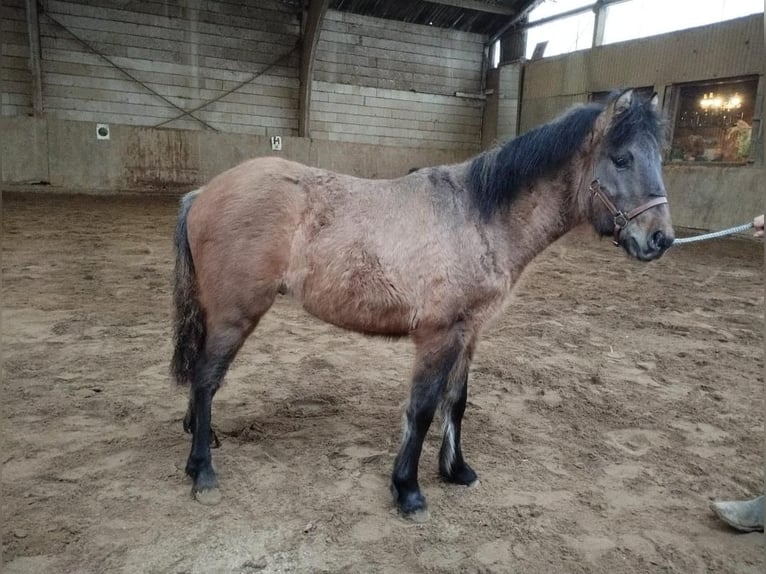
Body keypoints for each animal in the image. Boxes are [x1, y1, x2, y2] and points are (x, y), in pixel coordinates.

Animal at [171, 90, 676, 516]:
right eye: (622, 158)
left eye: (659, 158)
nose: (660, 239)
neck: (477, 216)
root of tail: (202, 194)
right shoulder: (439, 333)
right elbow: (423, 408)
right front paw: (408, 491)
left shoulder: (469, 332)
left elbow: (457, 401)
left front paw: (456, 471)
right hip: (236, 315)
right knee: (206, 379)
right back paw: (202, 471)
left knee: (202, 377)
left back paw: (203, 442)